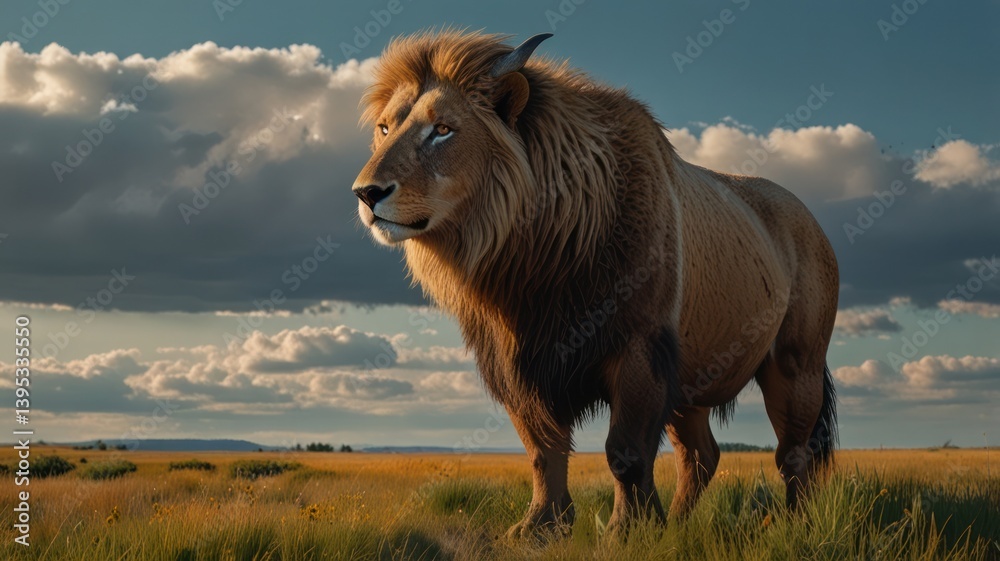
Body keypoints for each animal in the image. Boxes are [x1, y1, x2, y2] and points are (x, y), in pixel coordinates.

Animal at [352, 30, 839, 538]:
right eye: (385, 128)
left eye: (443, 129)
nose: (366, 193)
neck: (528, 261)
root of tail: (812, 220)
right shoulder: (517, 364)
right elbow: (543, 452)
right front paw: (541, 528)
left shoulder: (639, 348)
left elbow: (624, 452)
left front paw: (629, 531)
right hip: (691, 381)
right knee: (701, 455)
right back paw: (678, 527)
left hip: (796, 364)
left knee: (792, 454)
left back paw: (796, 527)